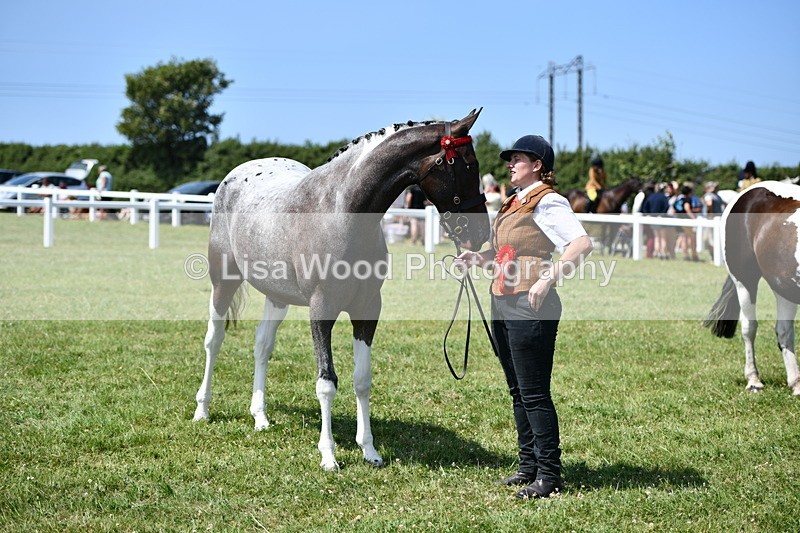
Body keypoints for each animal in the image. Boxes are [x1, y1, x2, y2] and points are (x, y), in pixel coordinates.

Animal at [192, 110, 491, 470]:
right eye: (468, 165)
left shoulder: (368, 309)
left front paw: (370, 450)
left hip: (276, 296)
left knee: (262, 347)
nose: (482, 232)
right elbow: (327, 382)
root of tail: (235, 175)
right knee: (214, 341)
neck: (341, 211)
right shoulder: (322, 310)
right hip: (223, 282)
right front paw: (328, 455)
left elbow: (362, 380)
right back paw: (202, 409)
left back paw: (260, 417)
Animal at [704, 181, 800, 396]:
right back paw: (754, 381)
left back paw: (796, 382)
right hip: (745, 280)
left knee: (784, 331)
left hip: (784, 285)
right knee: (749, 328)